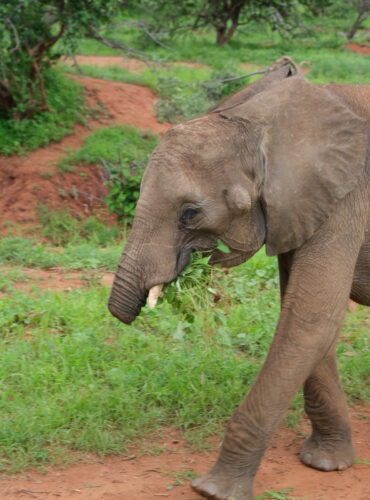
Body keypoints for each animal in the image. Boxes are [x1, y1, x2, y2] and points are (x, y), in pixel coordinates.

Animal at [108, 59, 368, 500]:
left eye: (190, 213)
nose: (121, 315)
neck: (262, 123)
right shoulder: (300, 205)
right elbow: (304, 316)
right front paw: (325, 464)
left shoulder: (350, 198)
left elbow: (310, 319)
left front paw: (213, 490)